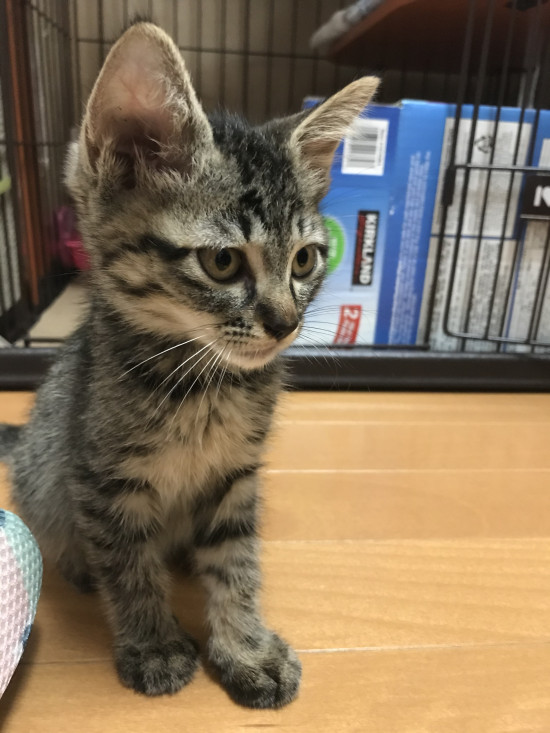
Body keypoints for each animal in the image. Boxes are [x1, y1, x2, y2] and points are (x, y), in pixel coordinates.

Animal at [0, 22, 377, 707]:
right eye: (222, 262)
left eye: (305, 260)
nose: (284, 323)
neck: (205, 385)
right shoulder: (103, 481)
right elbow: (130, 568)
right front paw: (153, 644)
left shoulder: (236, 476)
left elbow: (235, 562)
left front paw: (245, 647)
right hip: (46, 468)